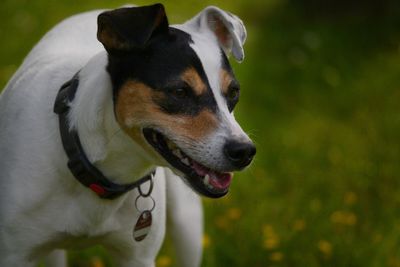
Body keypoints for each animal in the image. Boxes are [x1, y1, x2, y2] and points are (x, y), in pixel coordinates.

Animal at [0, 3, 256, 266]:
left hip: (188, 223)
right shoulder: (15, 255)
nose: (244, 151)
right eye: (179, 91)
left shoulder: (137, 258)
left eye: (233, 92)